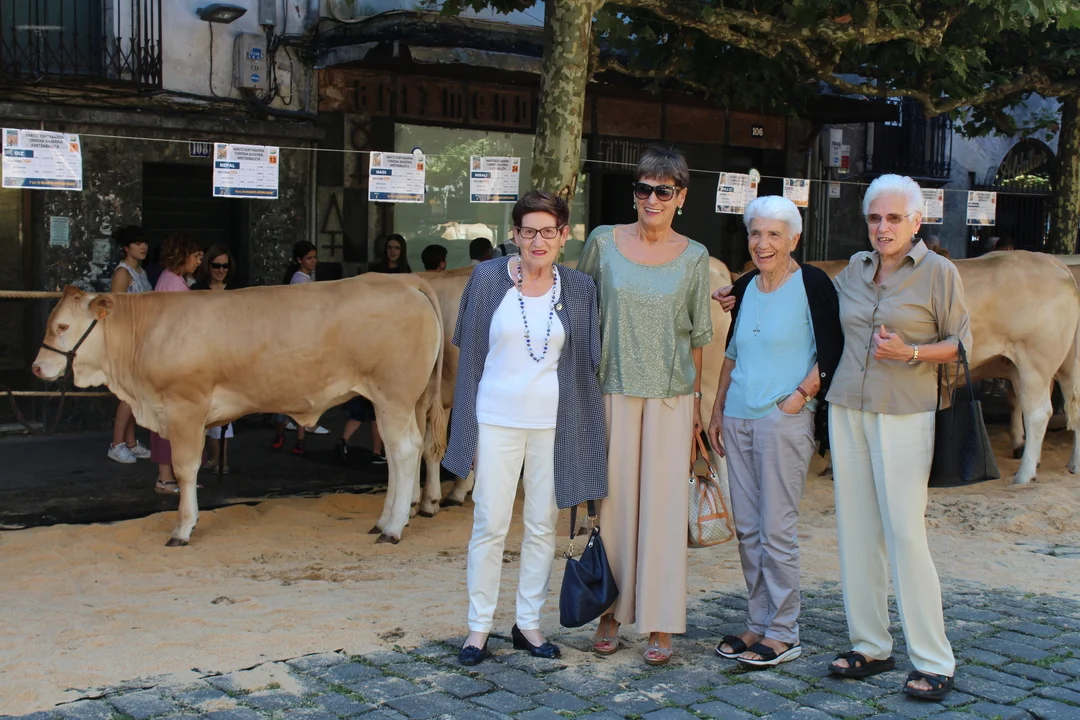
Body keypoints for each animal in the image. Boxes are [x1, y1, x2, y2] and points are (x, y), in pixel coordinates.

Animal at [31, 275, 448, 545]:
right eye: (51, 324)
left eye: (62, 326)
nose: (37, 368)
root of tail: (404, 283)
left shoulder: (185, 406)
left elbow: (185, 469)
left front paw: (183, 528)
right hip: (396, 400)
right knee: (399, 452)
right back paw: (385, 520)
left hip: (394, 396)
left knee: (404, 451)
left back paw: (392, 528)